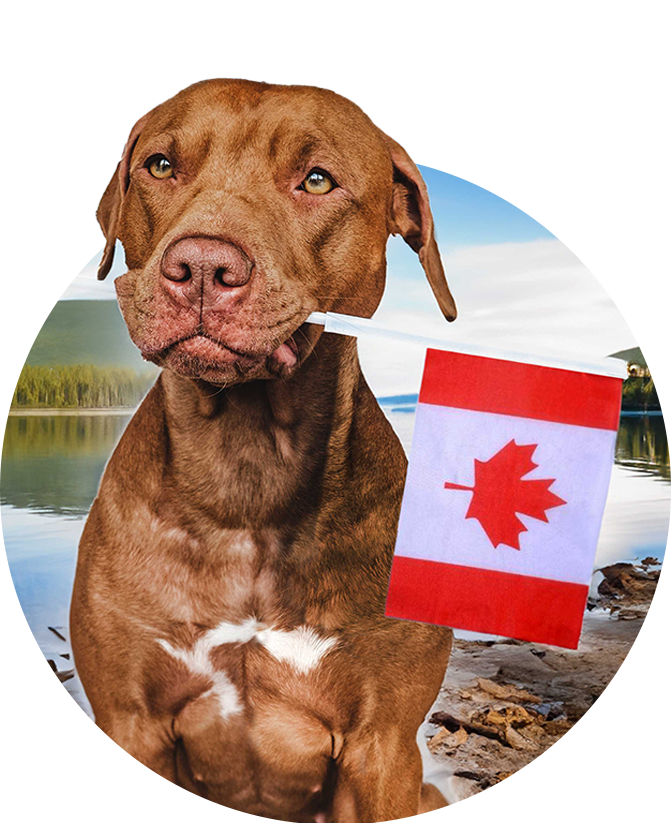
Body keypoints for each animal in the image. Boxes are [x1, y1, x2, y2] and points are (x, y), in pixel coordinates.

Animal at [72, 79, 462, 823]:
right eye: (161, 166)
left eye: (316, 180)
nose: (200, 266)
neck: (246, 467)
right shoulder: (128, 735)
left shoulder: (382, 747)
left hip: (428, 797)